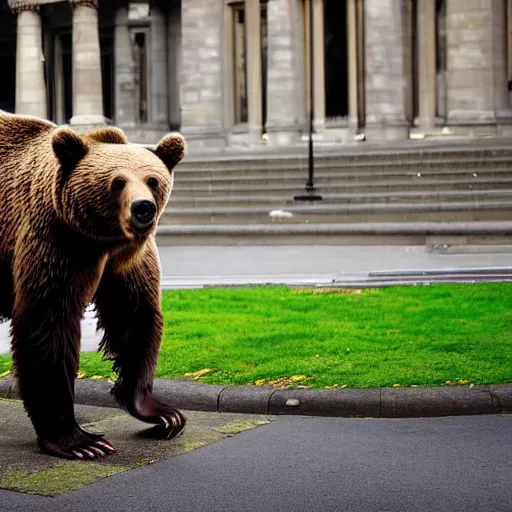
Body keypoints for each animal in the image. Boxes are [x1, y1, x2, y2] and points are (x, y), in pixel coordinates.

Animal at [0, 111, 187, 460]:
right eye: (118, 182)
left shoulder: (125, 259)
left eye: (152, 180)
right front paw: (81, 441)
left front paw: (163, 412)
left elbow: (134, 315)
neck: (102, 237)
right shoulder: (55, 240)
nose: (143, 208)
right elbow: (48, 321)